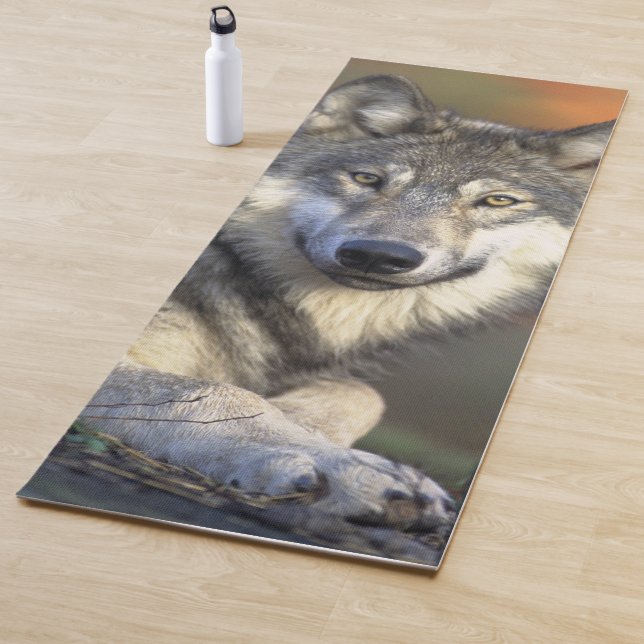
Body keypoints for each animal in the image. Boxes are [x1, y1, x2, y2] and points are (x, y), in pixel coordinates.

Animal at [77, 74, 613, 555]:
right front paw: (337, 465)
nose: (377, 255)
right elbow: (216, 391)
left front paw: (302, 421)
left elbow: (363, 393)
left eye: (497, 200)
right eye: (367, 179)